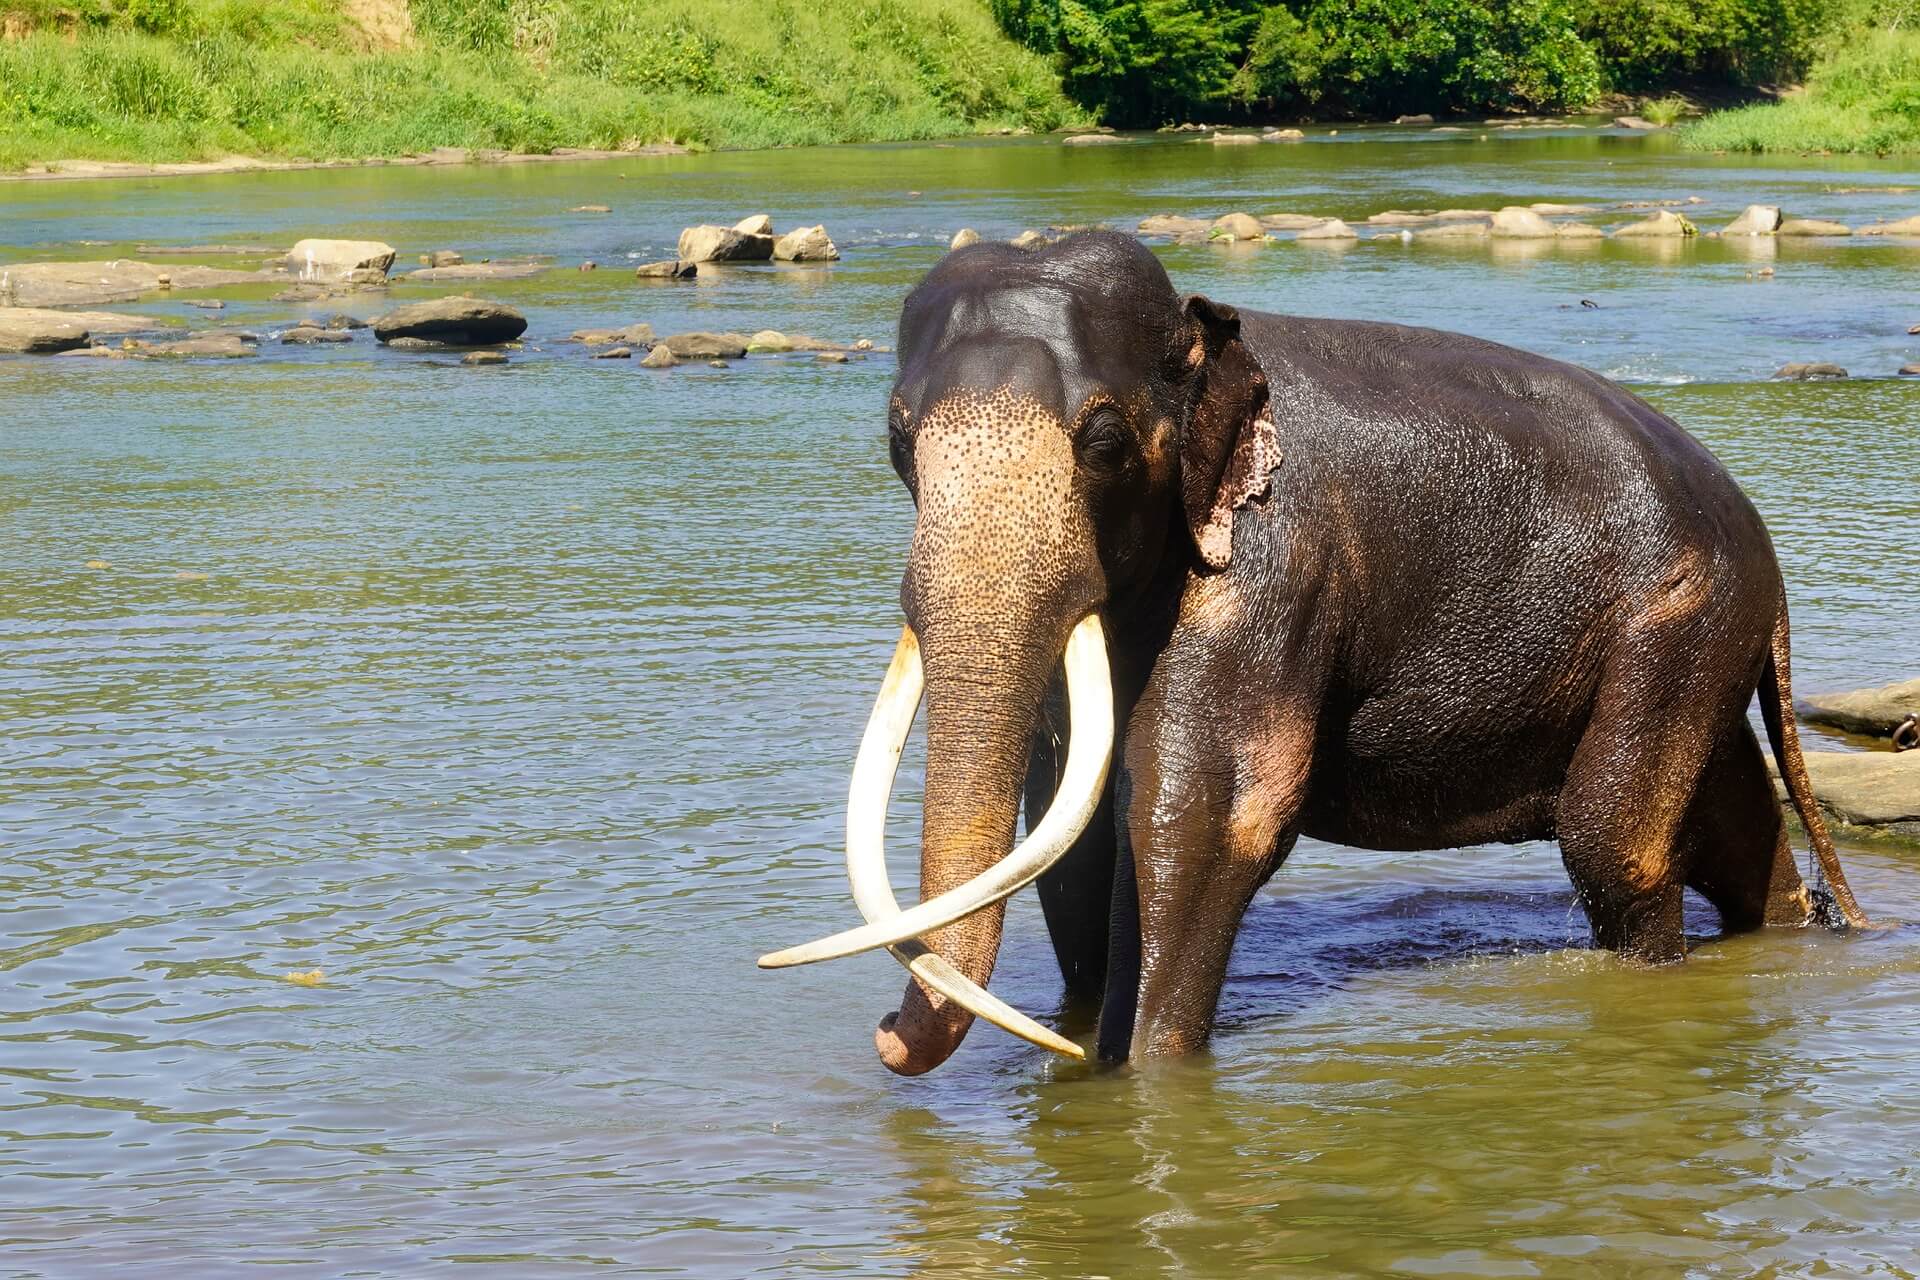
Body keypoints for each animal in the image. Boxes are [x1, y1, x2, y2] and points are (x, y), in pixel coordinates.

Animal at [761, 229, 1867, 1076]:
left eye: (1105, 440)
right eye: (898, 436)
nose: (884, 1032)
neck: (1204, 338)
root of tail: (1763, 552)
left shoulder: (1272, 564)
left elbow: (1204, 818)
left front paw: (1138, 1077)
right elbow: (1070, 828)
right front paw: (1079, 1046)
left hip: (1677, 619)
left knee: (1615, 843)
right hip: (1699, 641)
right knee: (1727, 826)